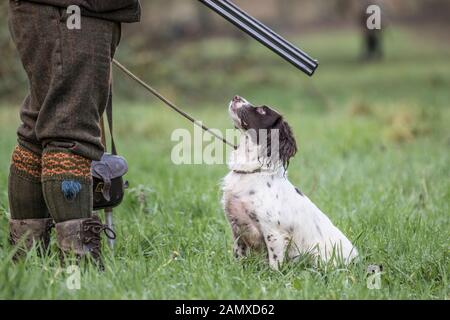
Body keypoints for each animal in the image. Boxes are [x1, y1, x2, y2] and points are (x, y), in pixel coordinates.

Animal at [221, 95, 358, 270]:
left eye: (262, 110)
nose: (236, 97)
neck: (251, 170)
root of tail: (355, 259)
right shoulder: (237, 227)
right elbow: (238, 255)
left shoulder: (274, 232)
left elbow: (274, 262)